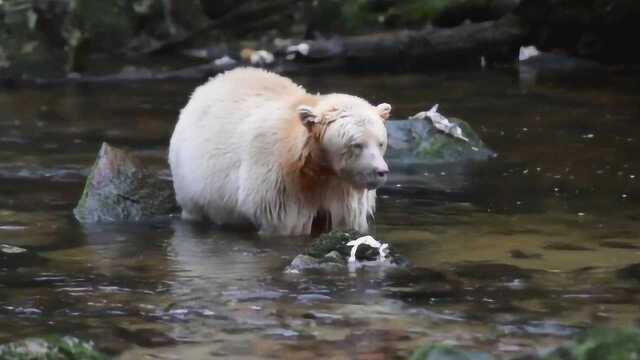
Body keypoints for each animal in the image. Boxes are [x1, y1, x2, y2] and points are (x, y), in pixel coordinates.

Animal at [168, 67, 390, 236]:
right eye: (357, 144)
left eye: (380, 143)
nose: (381, 172)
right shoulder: (278, 185)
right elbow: (285, 222)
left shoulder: (340, 188)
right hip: (190, 179)